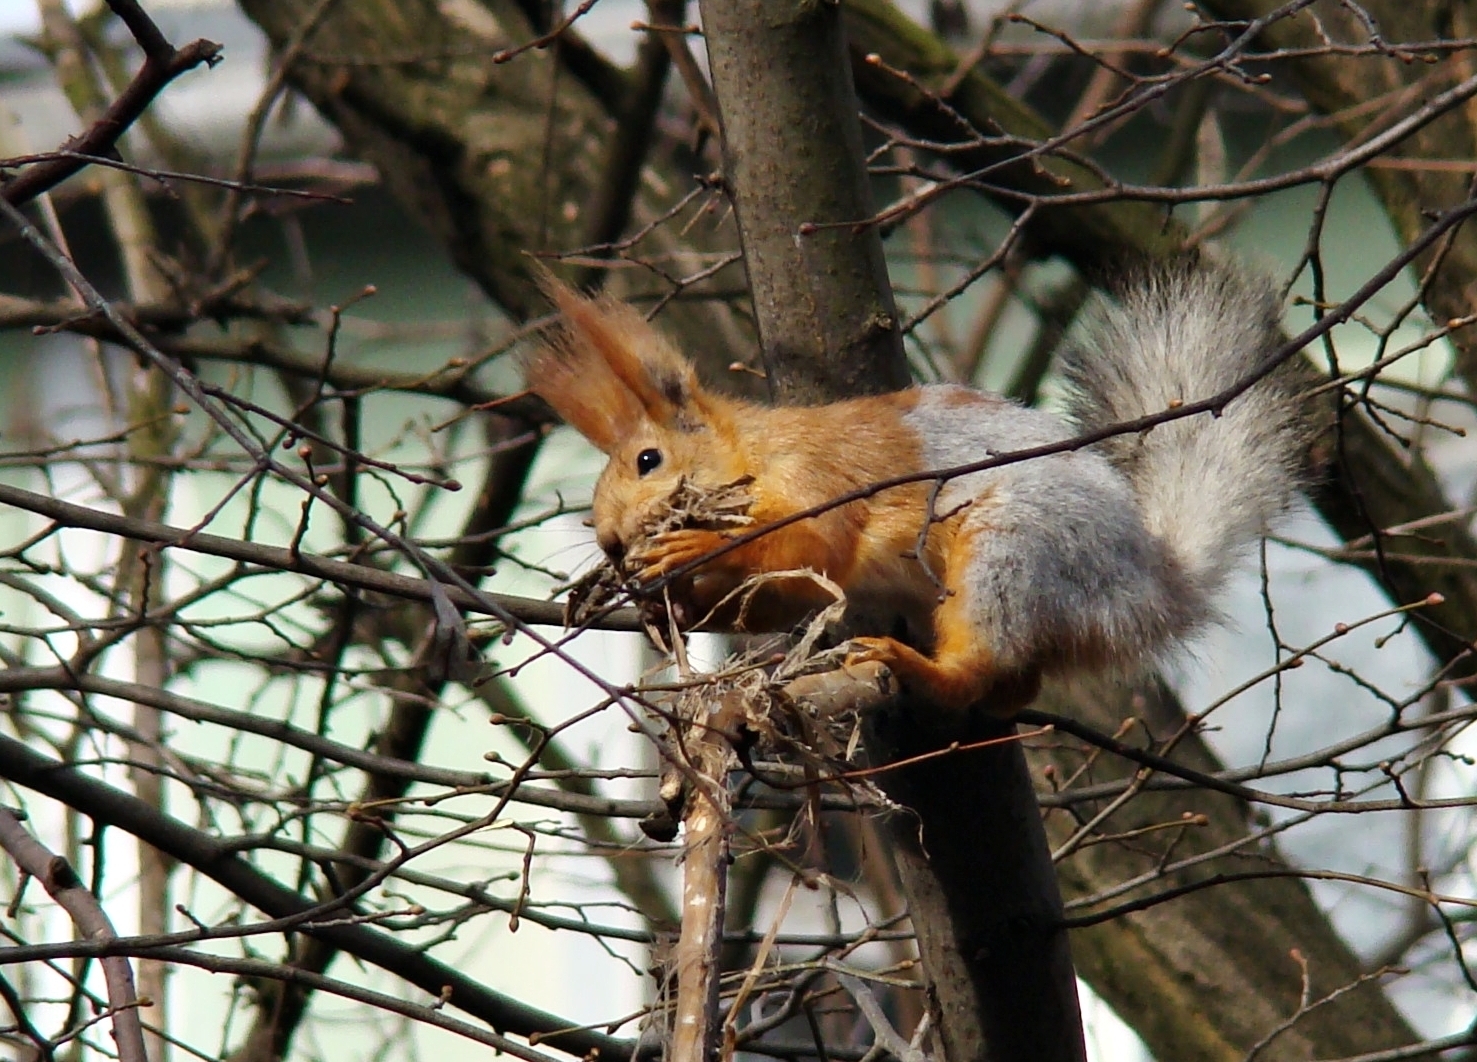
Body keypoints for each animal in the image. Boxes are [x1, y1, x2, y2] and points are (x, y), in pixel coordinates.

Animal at [525, 261, 1311, 717]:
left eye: (647, 460)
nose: (609, 541)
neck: (755, 448)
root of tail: (1151, 589)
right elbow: (784, 592)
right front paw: (678, 603)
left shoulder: (822, 476)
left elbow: (810, 540)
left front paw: (689, 546)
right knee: (1015, 685)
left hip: (1008, 553)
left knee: (979, 662)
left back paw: (912, 666)